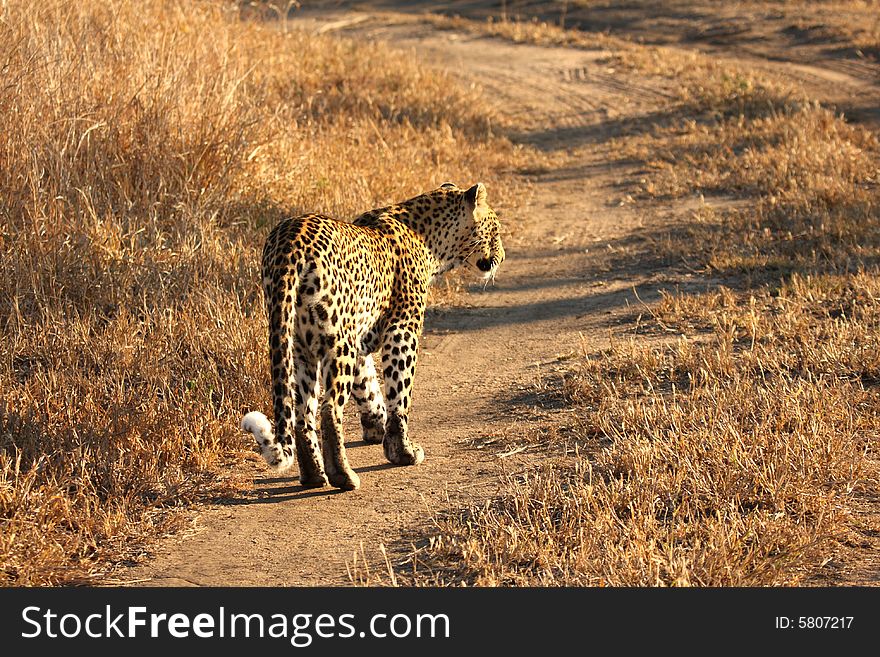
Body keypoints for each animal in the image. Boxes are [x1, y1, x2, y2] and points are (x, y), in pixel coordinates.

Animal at [241, 182, 506, 490]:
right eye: (495, 230)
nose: (502, 256)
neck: (430, 239)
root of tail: (290, 239)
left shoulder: (361, 341)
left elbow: (369, 387)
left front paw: (377, 426)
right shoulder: (402, 329)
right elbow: (400, 392)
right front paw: (402, 450)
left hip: (296, 345)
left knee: (302, 412)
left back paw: (313, 476)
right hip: (337, 341)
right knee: (329, 409)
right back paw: (343, 476)